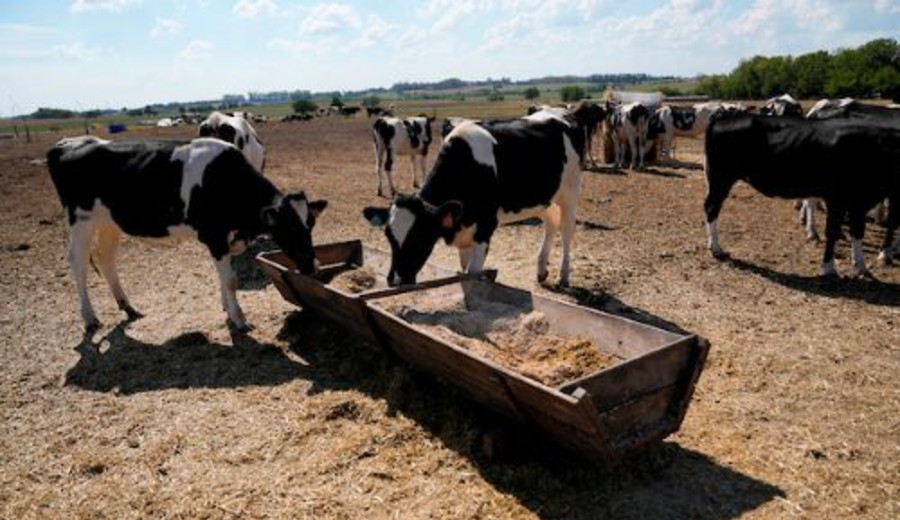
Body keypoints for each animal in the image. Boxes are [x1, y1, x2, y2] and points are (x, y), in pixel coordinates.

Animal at [45, 136, 326, 332]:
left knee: (106, 259)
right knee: (78, 264)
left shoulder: (225, 240)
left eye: (310, 224)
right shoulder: (214, 236)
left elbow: (224, 277)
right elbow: (231, 280)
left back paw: (128, 307)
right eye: (288, 227)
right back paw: (90, 317)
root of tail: (66, 144)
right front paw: (239, 319)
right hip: (80, 221)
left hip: (109, 222)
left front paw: (227, 310)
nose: (312, 266)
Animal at [362, 116, 588, 288]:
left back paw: (563, 276)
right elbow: (464, 270)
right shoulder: (463, 231)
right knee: (551, 224)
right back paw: (541, 271)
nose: (395, 281)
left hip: (571, 192)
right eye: (389, 237)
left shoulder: (485, 228)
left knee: (567, 231)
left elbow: (474, 273)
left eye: (419, 237)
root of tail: (564, 120)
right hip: (543, 199)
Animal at [704, 114, 900, 276]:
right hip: (720, 179)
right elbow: (832, 231)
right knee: (711, 208)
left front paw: (861, 265)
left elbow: (858, 231)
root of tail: (721, 119)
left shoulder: (858, 202)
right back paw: (716, 248)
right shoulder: (836, 199)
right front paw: (829, 268)